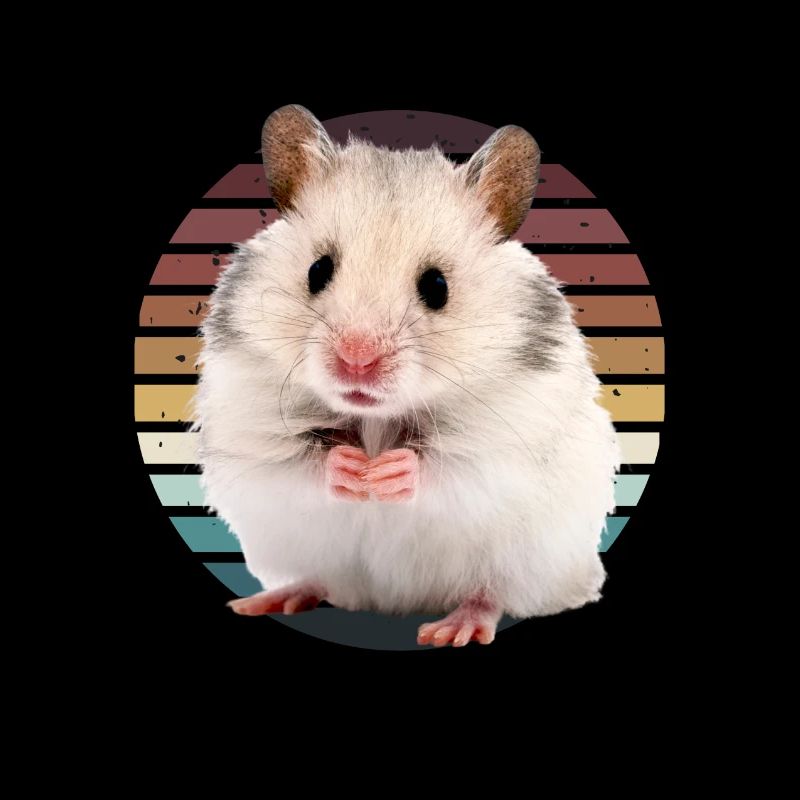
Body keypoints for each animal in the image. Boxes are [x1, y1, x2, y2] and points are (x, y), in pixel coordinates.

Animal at [196, 105, 620, 647]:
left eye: (436, 286)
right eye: (317, 270)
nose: (357, 360)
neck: (376, 418)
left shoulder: (507, 447)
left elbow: (451, 469)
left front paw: (387, 473)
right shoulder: (250, 436)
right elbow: (296, 465)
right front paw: (352, 469)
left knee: (492, 593)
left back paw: (452, 629)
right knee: (318, 578)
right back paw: (265, 600)